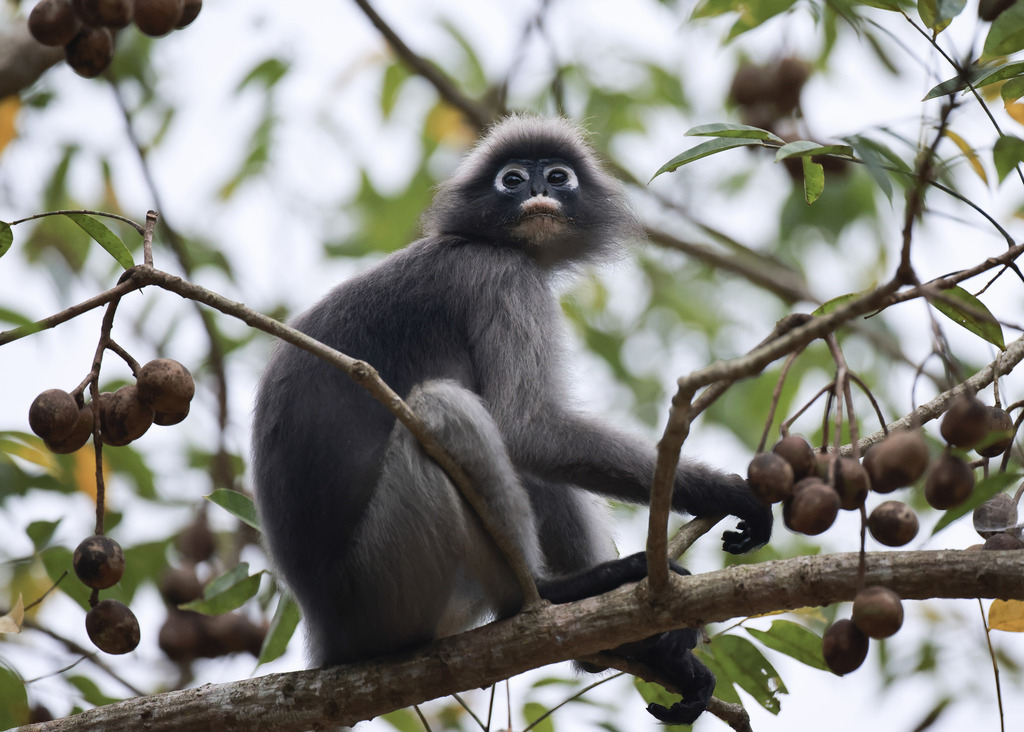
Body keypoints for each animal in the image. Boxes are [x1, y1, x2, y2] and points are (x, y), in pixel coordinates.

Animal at [251, 114, 772, 725]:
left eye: (558, 176)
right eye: (513, 179)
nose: (538, 191)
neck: (479, 241)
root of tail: (326, 636)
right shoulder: (502, 276)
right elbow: (527, 429)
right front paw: (728, 493)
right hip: (382, 588)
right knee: (447, 409)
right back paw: (552, 596)